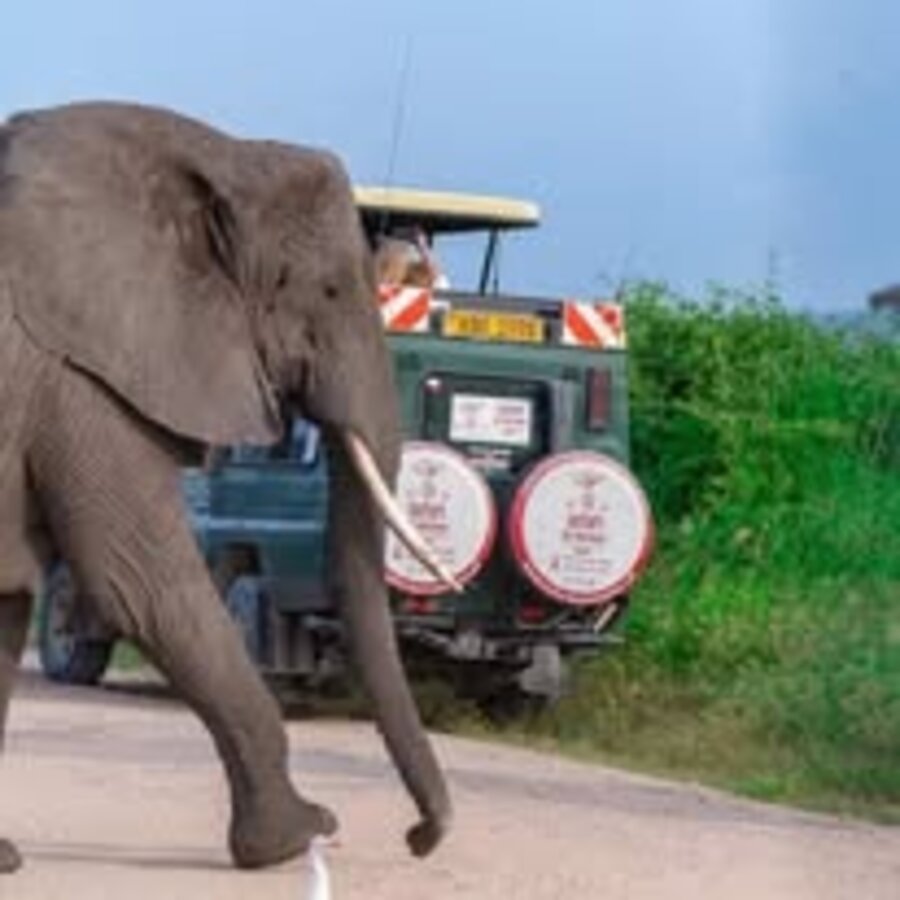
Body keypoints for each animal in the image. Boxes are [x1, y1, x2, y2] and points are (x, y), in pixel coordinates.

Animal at [0, 101, 455, 874]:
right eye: (328, 290)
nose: (420, 838)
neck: (224, 157)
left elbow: (14, 597)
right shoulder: (78, 374)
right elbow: (144, 583)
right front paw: (296, 838)